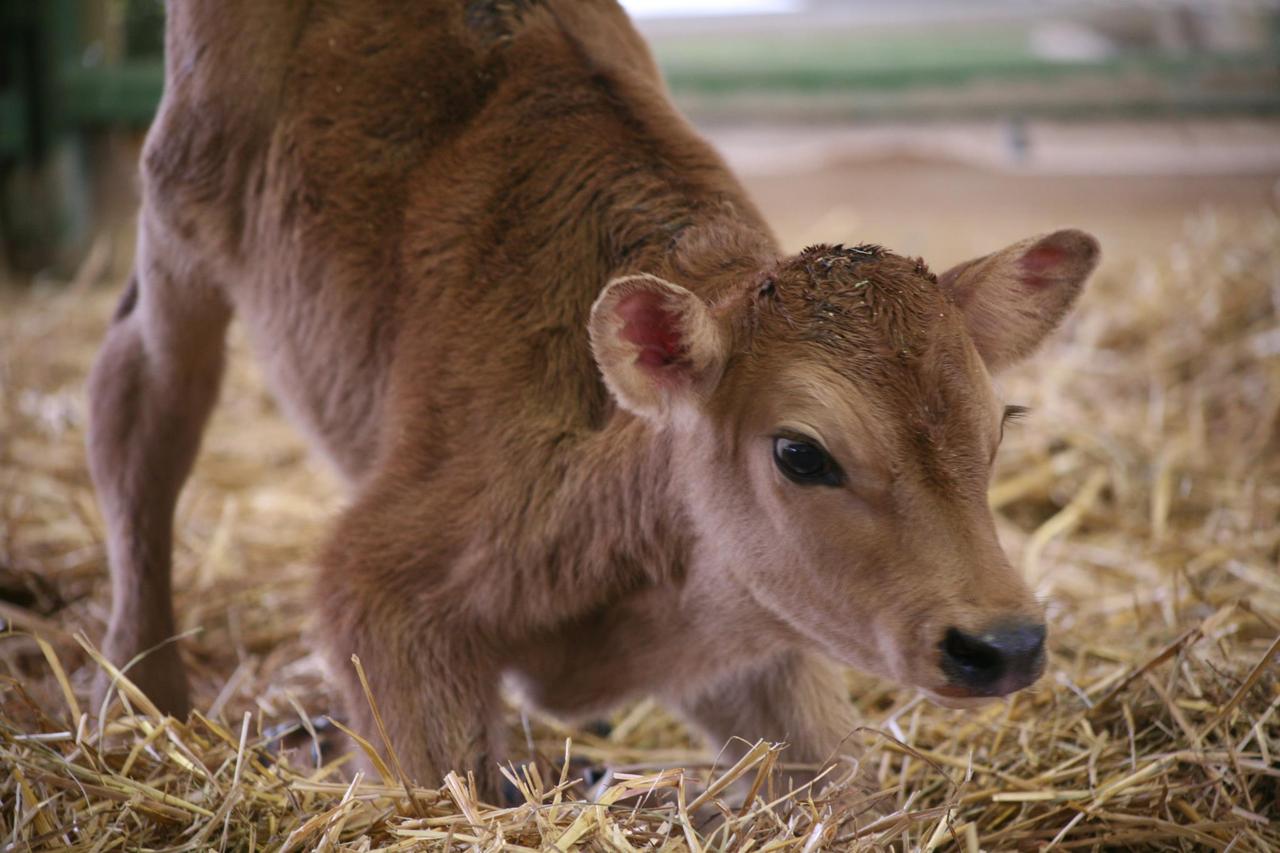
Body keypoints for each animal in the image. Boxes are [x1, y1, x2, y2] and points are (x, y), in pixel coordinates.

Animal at [85, 0, 1095, 799]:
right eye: (802, 452)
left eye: (996, 429)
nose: (1004, 643)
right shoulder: (382, 588)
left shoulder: (757, 632)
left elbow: (844, 785)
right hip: (182, 209)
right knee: (139, 401)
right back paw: (140, 694)